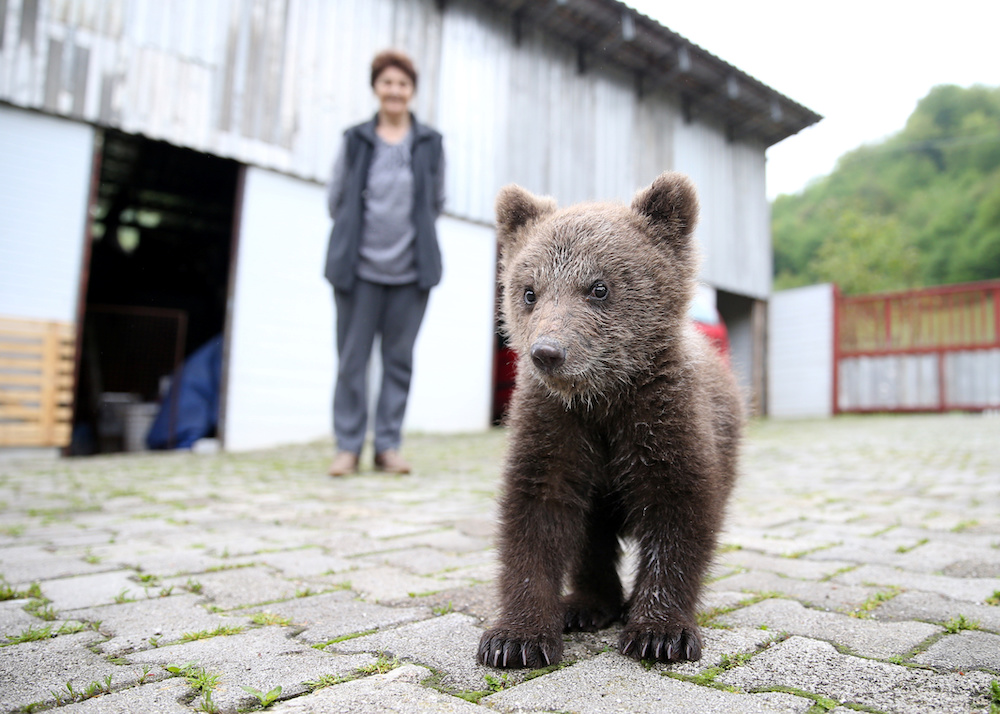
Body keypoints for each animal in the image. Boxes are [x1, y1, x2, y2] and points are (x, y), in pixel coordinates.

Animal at [477, 171, 743, 669]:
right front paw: (515, 638)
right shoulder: (556, 425)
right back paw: (586, 605)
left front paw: (660, 632)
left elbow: (679, 515)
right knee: (591, 537)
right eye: (529, 291)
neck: (601, 398)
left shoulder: (661, 418)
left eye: (598, 287)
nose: (547, 352)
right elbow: (537, 513)